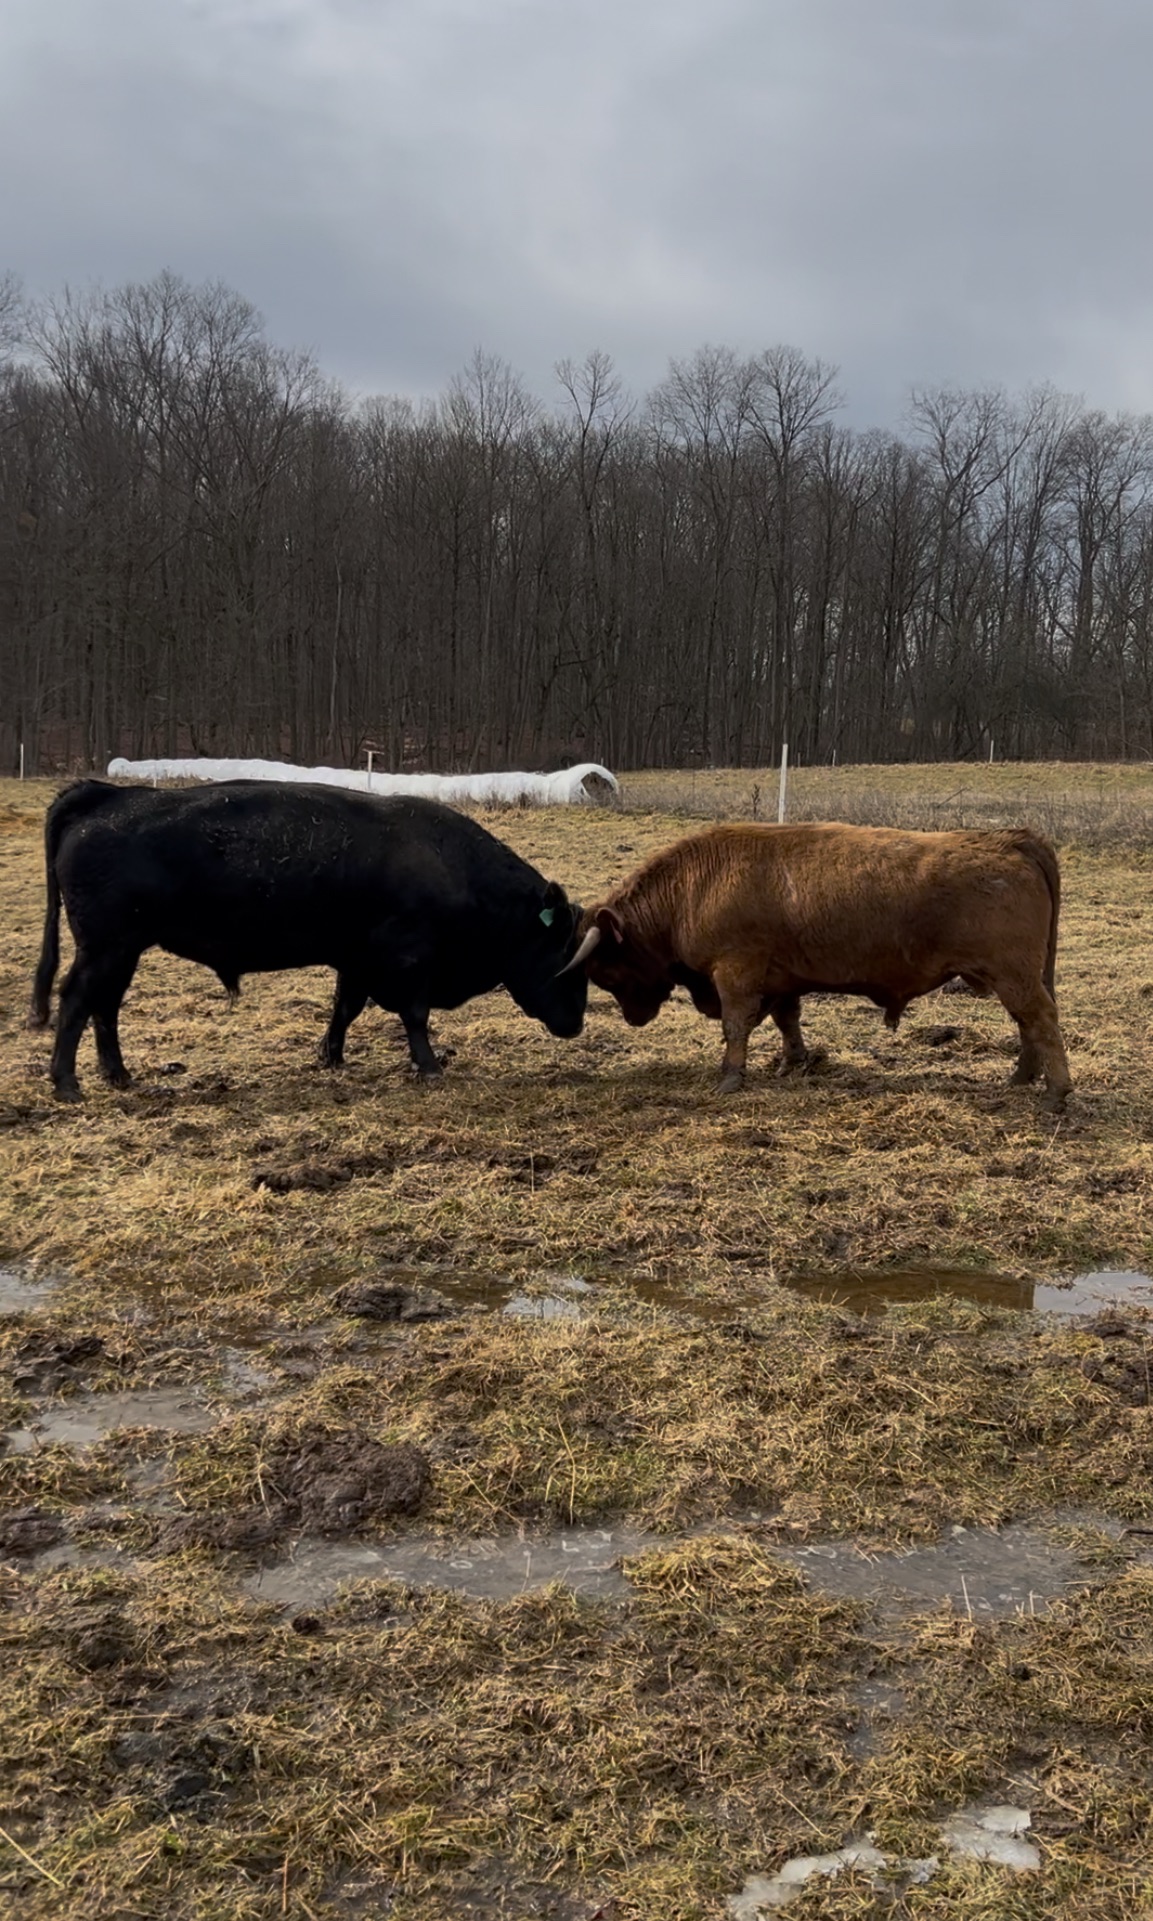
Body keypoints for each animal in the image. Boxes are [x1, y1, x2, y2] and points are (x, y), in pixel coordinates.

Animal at [28, 780, 589, 1101]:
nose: (577, 1024)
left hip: (122, 952)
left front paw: (330, 1056)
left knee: (105, 1008)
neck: (452, 867)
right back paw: (67, 1084)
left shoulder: (356, 960)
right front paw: (428, 1066)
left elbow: (345, 1008)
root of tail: (108, 794)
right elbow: (414, 1015)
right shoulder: (408, 961)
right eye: (569, 958)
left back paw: (118, 1075)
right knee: (76, 1001)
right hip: (104, 948)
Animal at [563, 822, 1071, 1108]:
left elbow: (735, 1026)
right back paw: (1022, 1078)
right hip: (1018, 979)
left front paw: (730, 1077)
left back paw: (1055, 1094)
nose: (634, 1018)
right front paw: (793, 1062)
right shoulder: (781, 979)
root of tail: (1012, 840)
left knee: (1041, 1021)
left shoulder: (736, 974)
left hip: (1013, 977)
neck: (693, 886)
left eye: (604, 970)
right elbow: (787, 1020)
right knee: (1028, 1024)